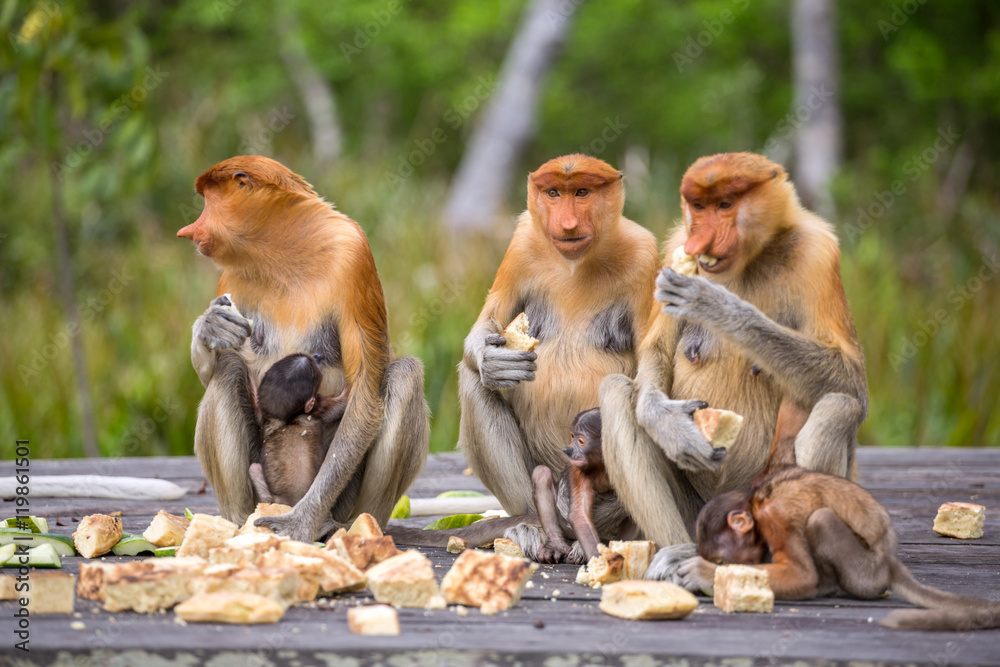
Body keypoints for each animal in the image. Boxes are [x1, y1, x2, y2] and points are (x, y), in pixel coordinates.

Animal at [250, 354, 352, 506]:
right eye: (316, 374)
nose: (317, 356)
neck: (285, 418)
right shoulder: (317, 409)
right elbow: (340, 405)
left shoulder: (263, 414)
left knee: (253, 470)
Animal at [532, 408, 632, 564]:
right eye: (572, 436)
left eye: (580, 441)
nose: (568, 449)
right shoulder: (577, 469)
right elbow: (579, 516)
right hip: (565, 525)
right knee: (541, 473)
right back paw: (555, 544)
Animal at [592, 153, 868, 576]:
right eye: (699, 206)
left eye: (725, 205)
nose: (699, 241)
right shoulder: (675, 247)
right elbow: (656, 351)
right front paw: (669, 423)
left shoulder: (818, 254)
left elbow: (852, 380)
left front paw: (712, 302)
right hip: (697, 511)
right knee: (617, 392)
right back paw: (684, 550)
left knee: (837, 404)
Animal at [676, 464, 996, 632]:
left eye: (719, 559)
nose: (717, 565)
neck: (755, 505)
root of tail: (889, 564)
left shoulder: (775, 518)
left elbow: (801, 574)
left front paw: (703, 573)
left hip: (864, 572)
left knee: (820, 520)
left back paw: (827, 587)